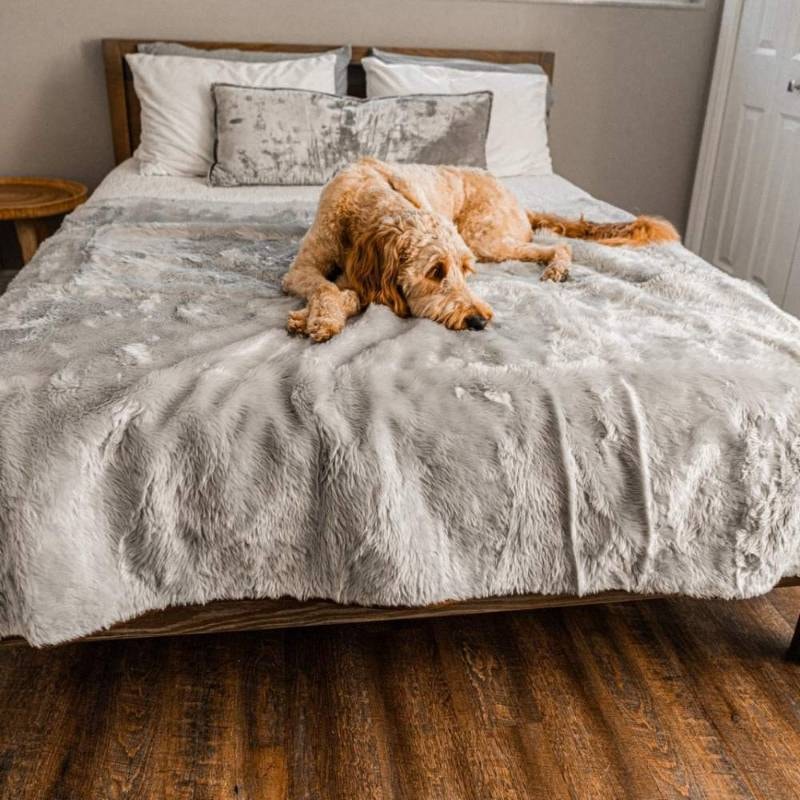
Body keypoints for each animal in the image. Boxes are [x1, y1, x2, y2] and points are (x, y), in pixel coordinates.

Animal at [284, 158, 680, 342]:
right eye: (435, 271)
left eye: (465, 271)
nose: (479, 321)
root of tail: (518, 202)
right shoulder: (300, 270)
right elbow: (327, 287)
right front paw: (318, 317)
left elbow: (345, 292)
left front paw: (319, 318)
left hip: (484, 239)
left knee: (558, 244)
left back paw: (557, 268)